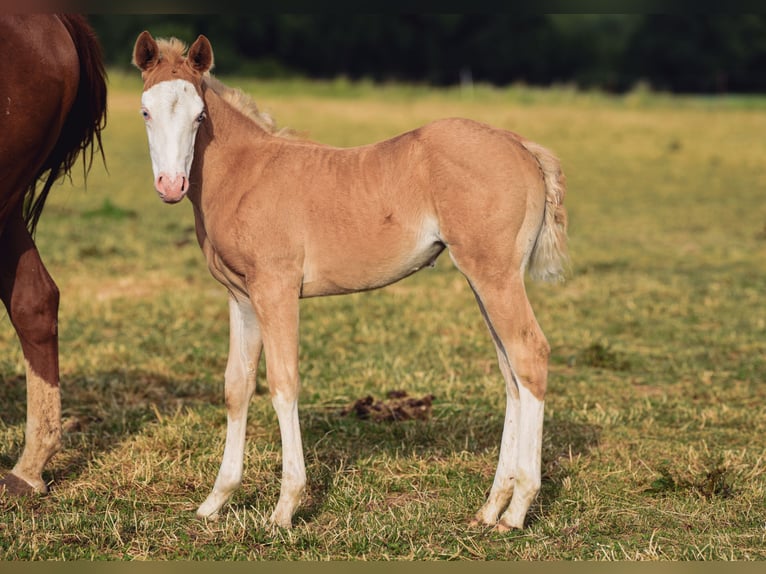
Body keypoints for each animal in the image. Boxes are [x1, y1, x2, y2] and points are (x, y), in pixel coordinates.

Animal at [132, 31, 567, 531]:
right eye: (145, 111)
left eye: (199, 115)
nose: (171, 185)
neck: (245, 173)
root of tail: (521, 145)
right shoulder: (241, 297)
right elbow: (236, 387)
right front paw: (215, 501)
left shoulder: (276, 289)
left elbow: (283, 383)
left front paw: (284, 508)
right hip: (486, 280)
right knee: (511, 373)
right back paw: (492, 505)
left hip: (495, 276)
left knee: (529, 354)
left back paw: (517, 510)